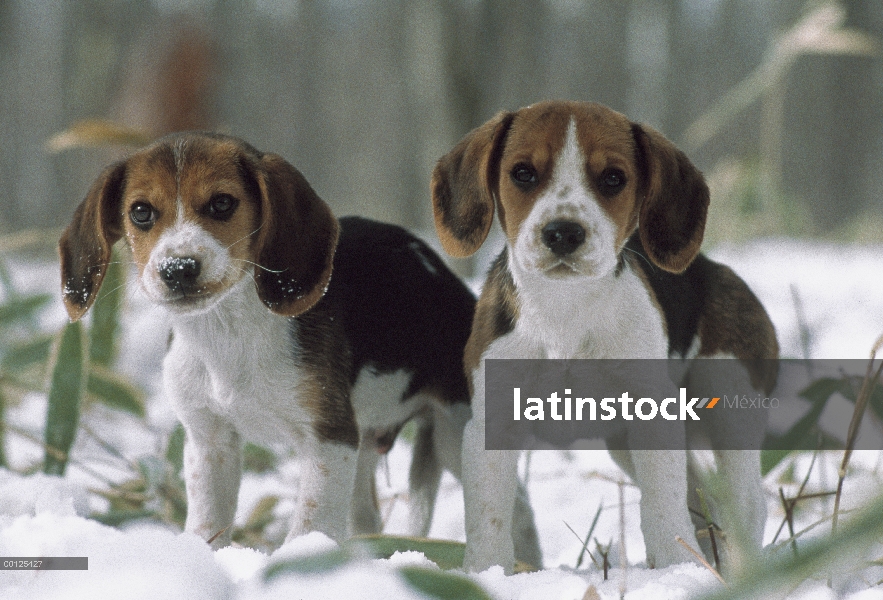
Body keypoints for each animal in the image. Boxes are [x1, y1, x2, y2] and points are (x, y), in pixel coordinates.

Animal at [57, 131, 544, 552]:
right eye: (141, 212)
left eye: (221, 203)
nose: (178, 268)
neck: (228, 331)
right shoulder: (209, 441)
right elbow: (209, 522)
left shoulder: (328, 437)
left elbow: (310, 522)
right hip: (368, 445)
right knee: (366, 519)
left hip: (454, 432)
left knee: (517, 511)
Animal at [432, 101, 776, 576]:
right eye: (523, 173)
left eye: (613, 178)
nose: (563, 232)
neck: (565, 308)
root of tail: (716, 269)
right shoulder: (492, 422)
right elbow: (489, 515)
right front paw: (487, 573)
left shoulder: (654, 419)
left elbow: (662, 504)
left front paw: (674, 567)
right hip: (627, 445)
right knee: (701, 495)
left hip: (730, 407)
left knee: (744, 504)